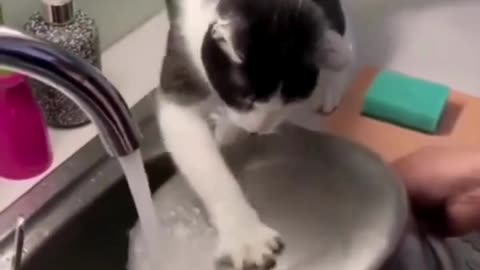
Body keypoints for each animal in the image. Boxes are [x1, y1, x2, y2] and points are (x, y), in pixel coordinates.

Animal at [137, 1, 350, 268]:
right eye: (245, 97)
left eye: (291, 99)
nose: (258, 128)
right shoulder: (181, 66)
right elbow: (208, 167)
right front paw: (245, 235)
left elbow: (336, 34)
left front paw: (336, 55)